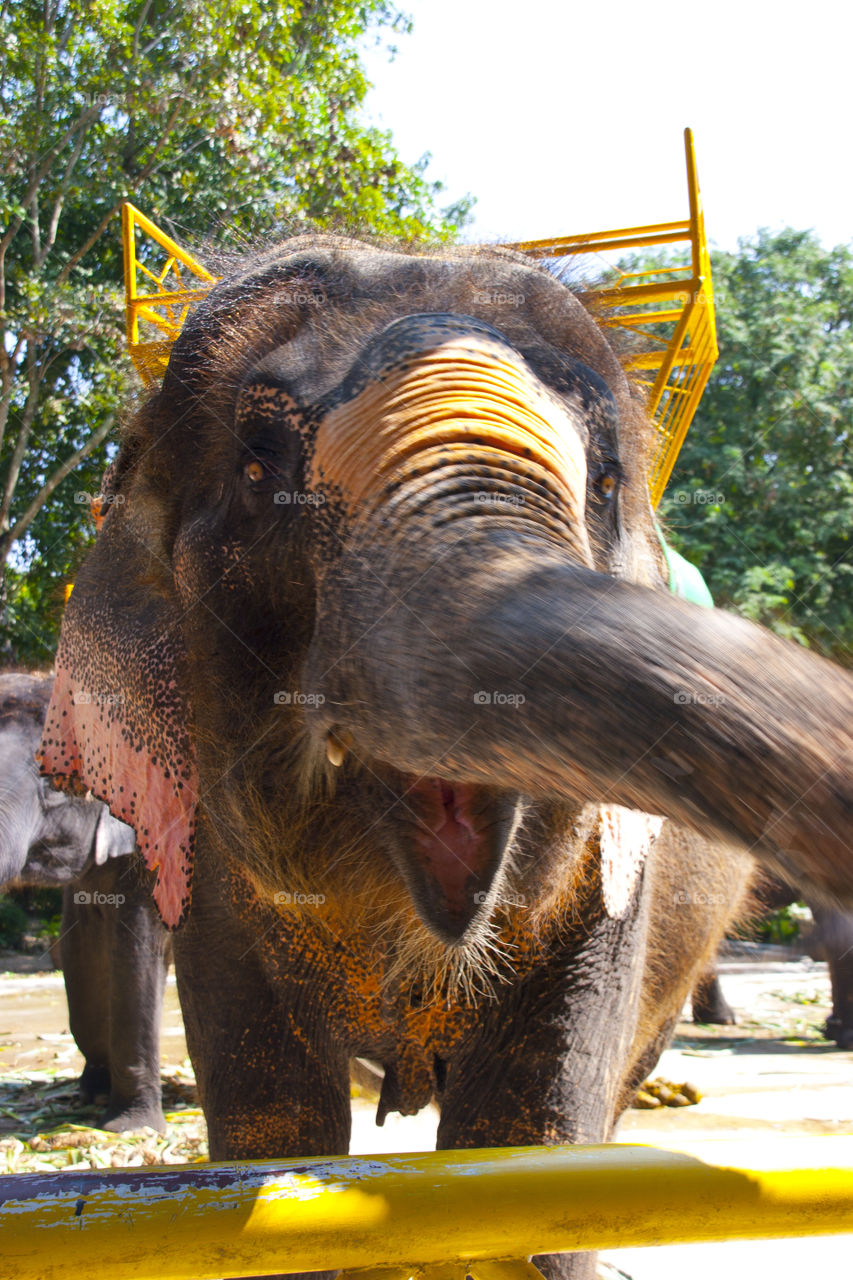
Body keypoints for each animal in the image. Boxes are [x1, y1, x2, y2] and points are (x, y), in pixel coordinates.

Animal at [38, 240, 853, 1280]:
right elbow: (274, 1131)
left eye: (604, 485)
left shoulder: (614, 885)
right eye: (257, 464)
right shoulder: (207, 875)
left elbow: (532, 1140)